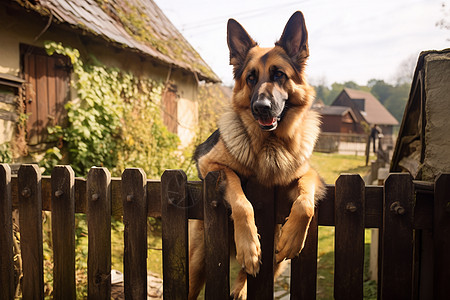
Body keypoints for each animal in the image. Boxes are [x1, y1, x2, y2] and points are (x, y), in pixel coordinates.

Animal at [189, 10, 324, 298]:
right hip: (196, 264)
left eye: (279, 75)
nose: (261, 107)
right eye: (251, 78)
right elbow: (242, 201)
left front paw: (293, 237)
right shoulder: (211, 164)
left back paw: (241, 286)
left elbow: (305, 202)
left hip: (277, 265)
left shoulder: (309, 174)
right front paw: (249, 247)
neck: (269, 145)